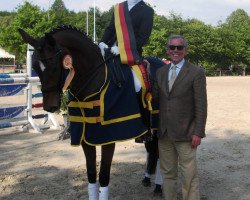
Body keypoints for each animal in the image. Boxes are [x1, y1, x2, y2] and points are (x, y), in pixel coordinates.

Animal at [18, 25, 150, 199]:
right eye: (34, 67)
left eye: (54, 65)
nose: (49, 107)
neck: (95, 81)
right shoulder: (84, 137)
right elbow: (91, 174)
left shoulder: (109, 136)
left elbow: (104, 175)